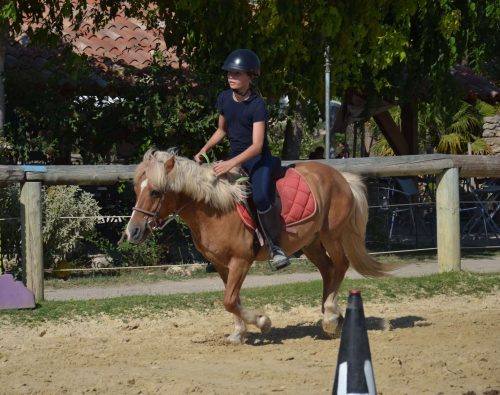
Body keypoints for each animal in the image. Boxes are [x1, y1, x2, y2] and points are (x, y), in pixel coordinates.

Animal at [126, 150, 390, 344]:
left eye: (155, 192)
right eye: (137, 189)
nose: (133, 231)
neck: (215, 208)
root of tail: (341, 177)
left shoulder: (241, 261)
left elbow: (229, 300)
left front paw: (263, 322)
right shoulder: (221, 265)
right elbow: (232, 300)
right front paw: (238, 333)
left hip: (331, 234)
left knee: (341, 265)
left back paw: (331, 315)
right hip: (311, 242)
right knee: (328, 270)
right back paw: (333, 318)